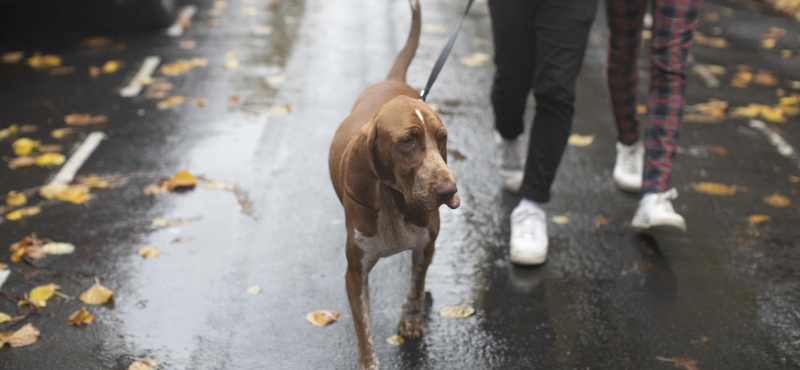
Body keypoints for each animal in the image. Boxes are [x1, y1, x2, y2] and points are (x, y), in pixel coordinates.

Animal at [326, 1, 462, 368]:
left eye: (442, 138)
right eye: (407, 141)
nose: (449, 192)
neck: (392, 200)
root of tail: (391, 79)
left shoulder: (426, 245)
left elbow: (415, 286)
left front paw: (411, 320)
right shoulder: (354, 273)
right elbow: (364, 330)